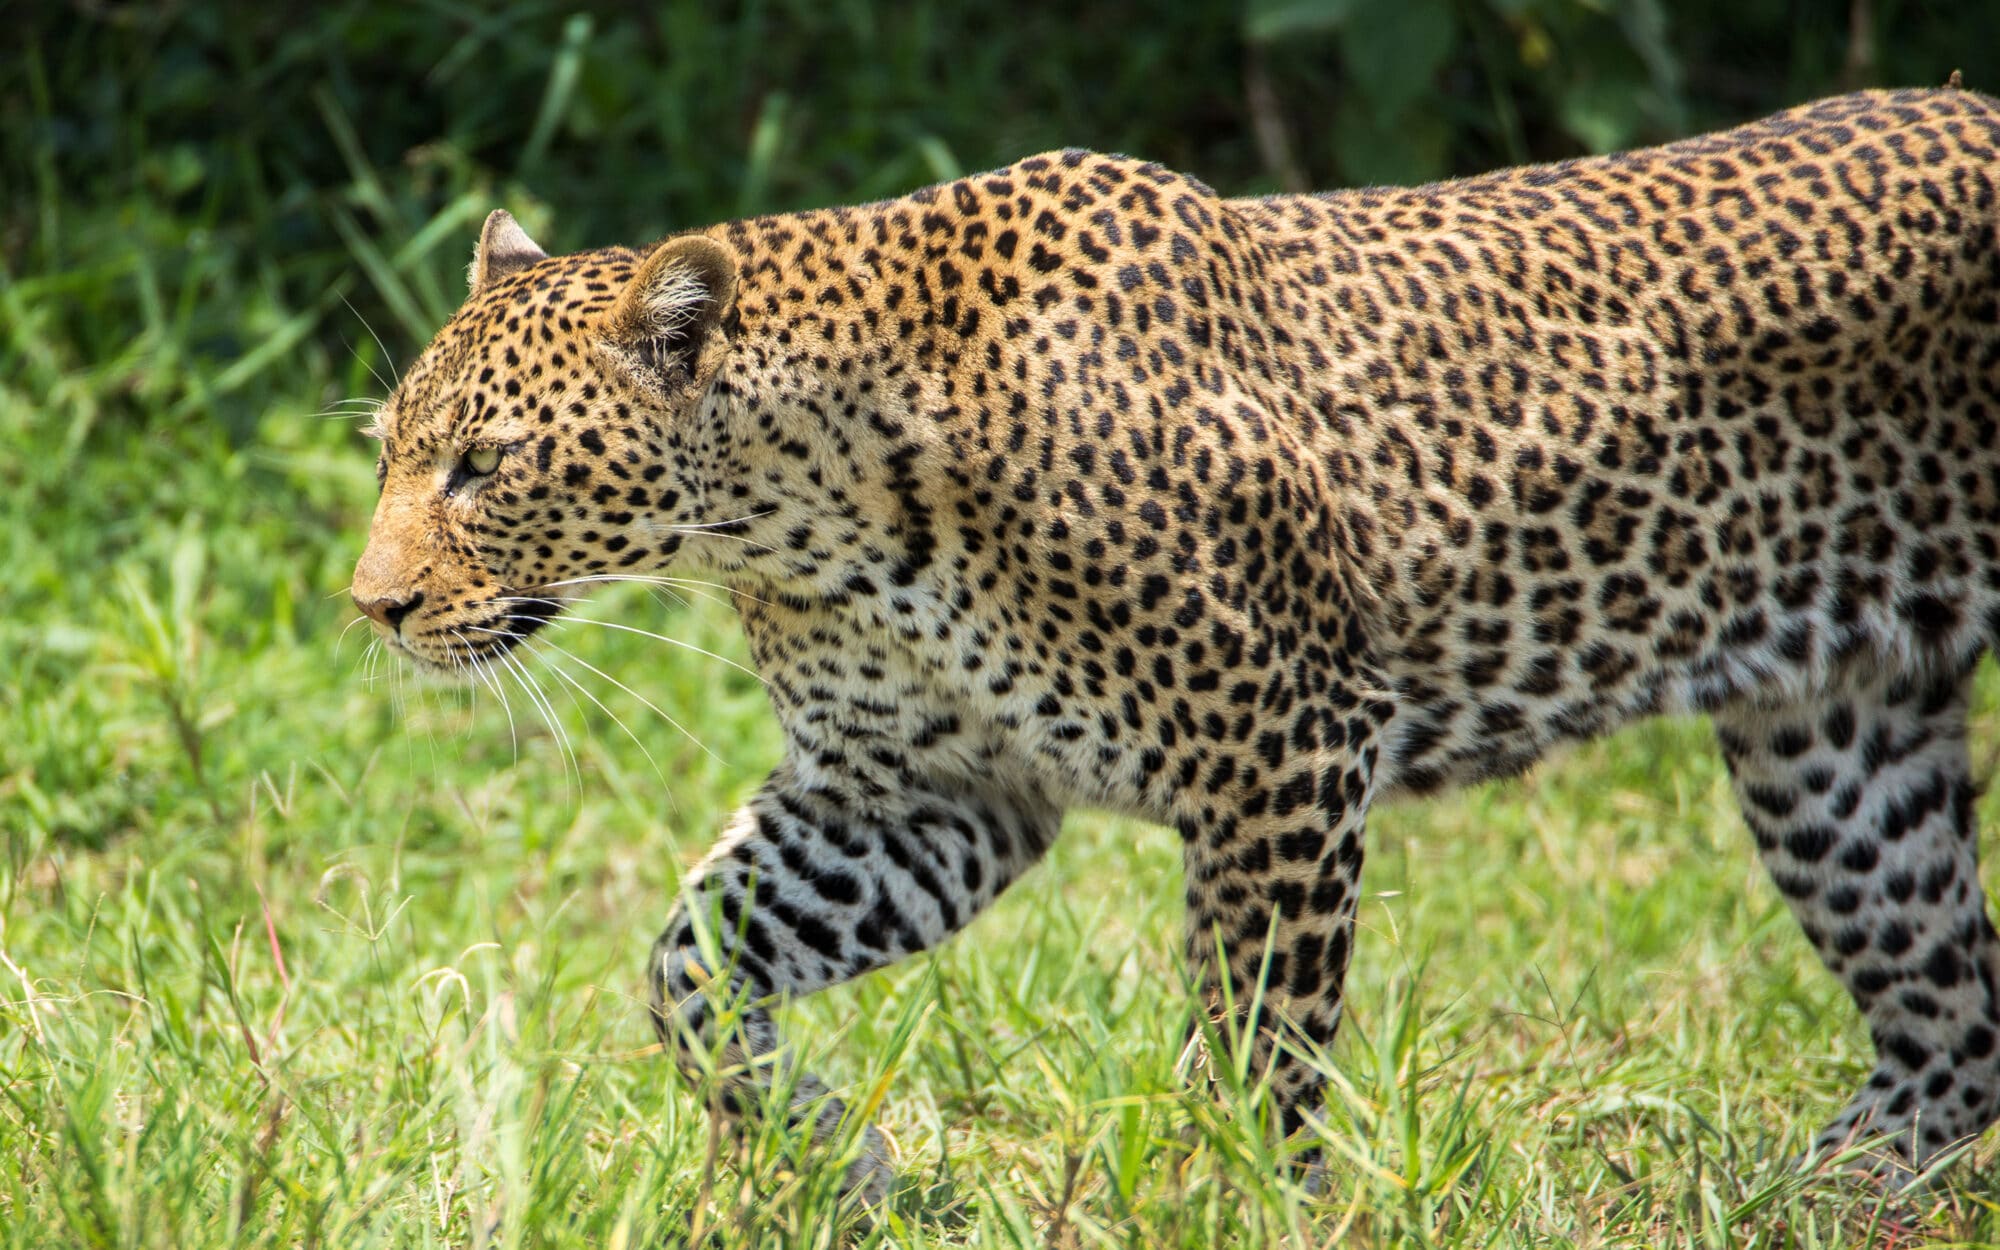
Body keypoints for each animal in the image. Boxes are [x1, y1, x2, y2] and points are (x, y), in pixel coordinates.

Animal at [350, 85, 2000, 1203]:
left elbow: (1254, 1042)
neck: (813, 521)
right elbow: (690, 963)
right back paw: (1806, 1196)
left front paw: (1233, 1203)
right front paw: (840, 1162)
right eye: (389, 453)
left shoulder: (1285, 746)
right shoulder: (926, 789)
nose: (373, 608)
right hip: (1831, 740)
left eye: (482, 468)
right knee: (1952, 1023)